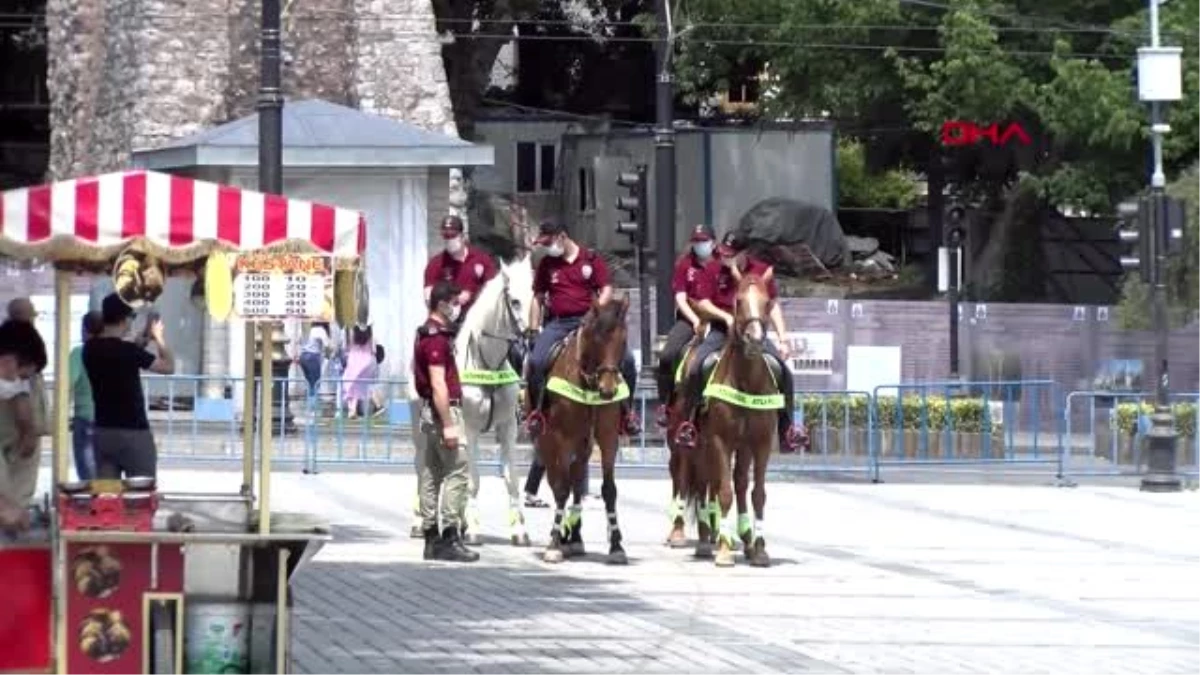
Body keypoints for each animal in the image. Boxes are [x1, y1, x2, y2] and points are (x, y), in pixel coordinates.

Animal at [535, 294, 633, 562]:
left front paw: (616, 545)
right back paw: (562, 536)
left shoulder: (608, 438)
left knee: (578, 483)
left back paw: (575, 537)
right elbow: (561, 489)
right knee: (559, 482)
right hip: (548, 441)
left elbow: (609, 490)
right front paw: (554, 543)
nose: (608, 390)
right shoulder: (560, 438)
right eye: (597, 339)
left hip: (583, 445)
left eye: (623, 341)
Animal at [691, 275, 782, 566]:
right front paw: (723, 549)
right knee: (706, 483)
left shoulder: (761, 443)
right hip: (702, 443)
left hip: (743, 446)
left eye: (767, 302)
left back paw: (746, 539)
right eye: (738, 301)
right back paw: (707, 539)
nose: (754, 339)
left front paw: (760, 548)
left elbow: (758, 494)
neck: (746, 383)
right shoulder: (720, 440)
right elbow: (724, 492)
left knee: (740, 481)